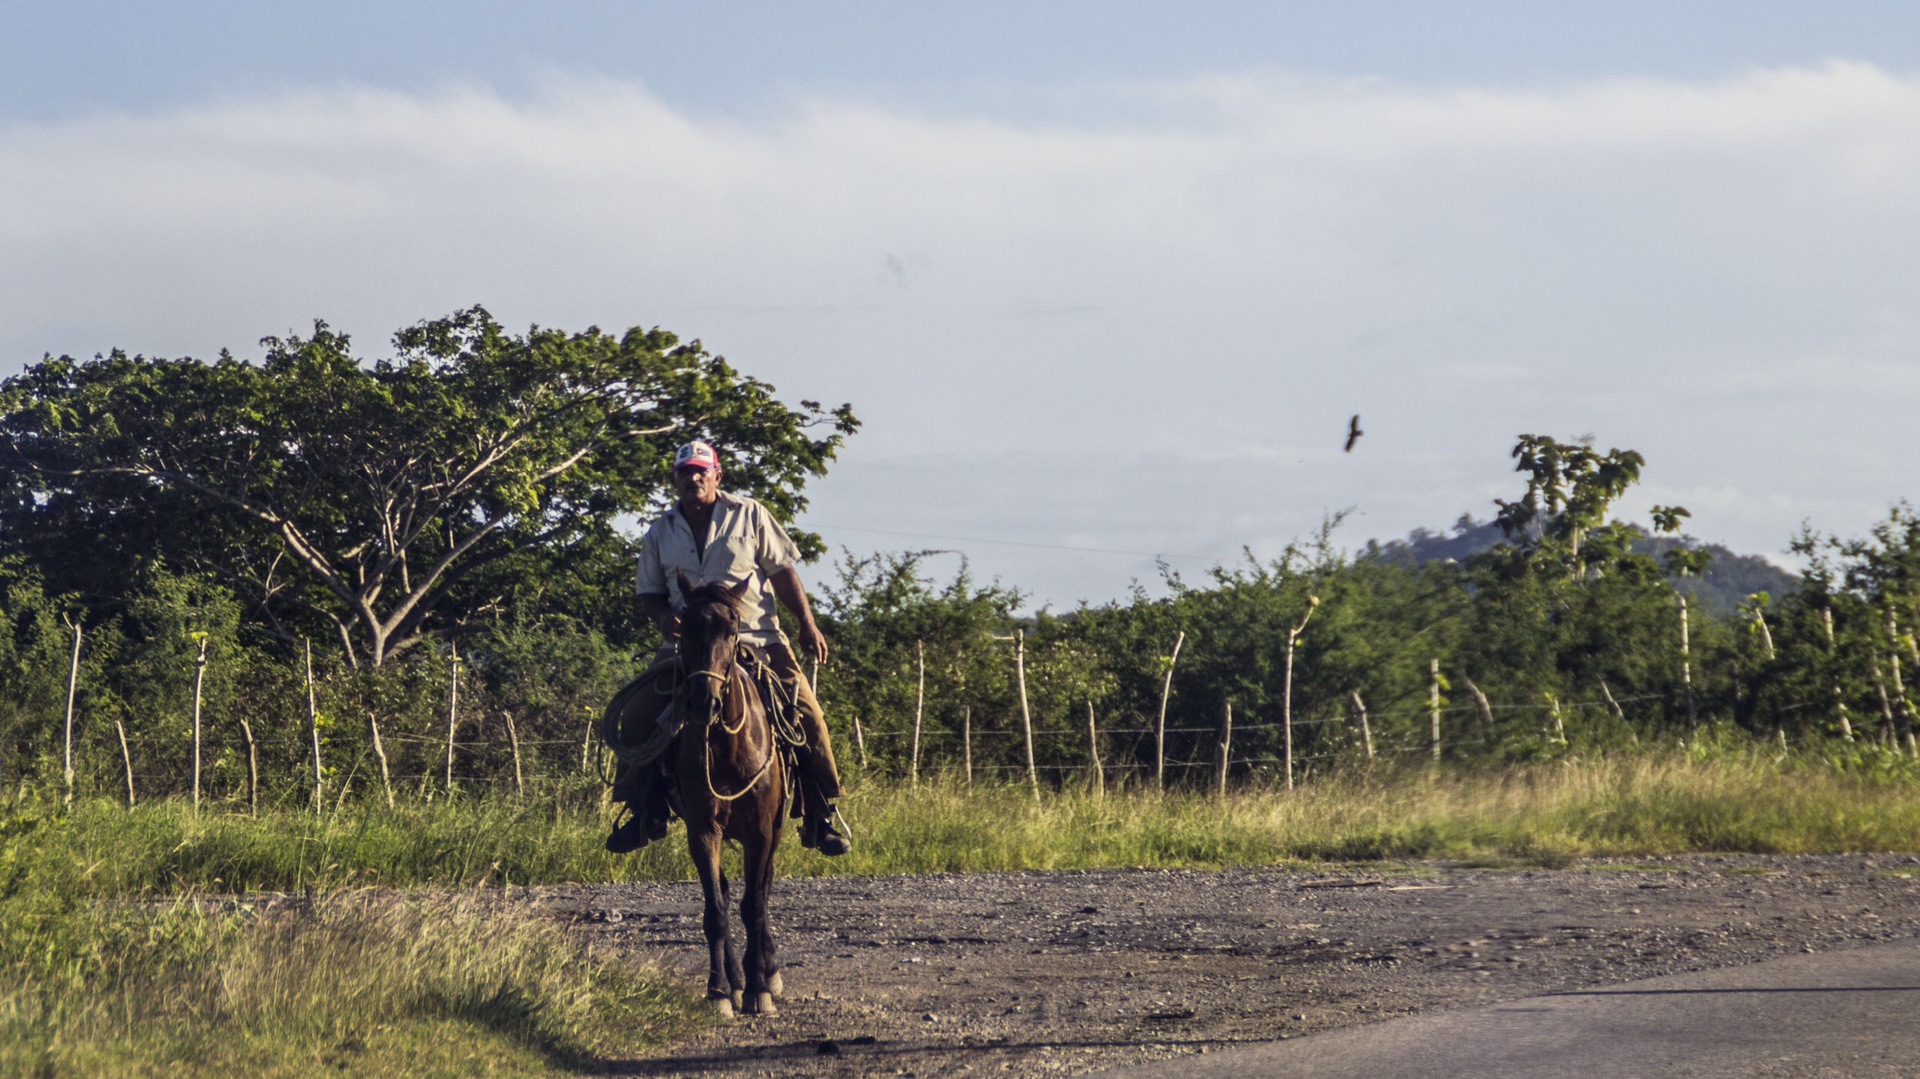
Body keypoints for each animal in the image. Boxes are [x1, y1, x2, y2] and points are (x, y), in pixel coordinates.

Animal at [672, 575, 783, 1013]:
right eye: (684, 628)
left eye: (732, 630)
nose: (705, 702)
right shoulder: (702, 830)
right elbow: (716, 911)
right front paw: (720, 990)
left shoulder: (762, 832)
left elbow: (754, 906)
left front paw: (759, 990)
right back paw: (736, 981)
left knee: (763, 894)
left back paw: (768, 971)